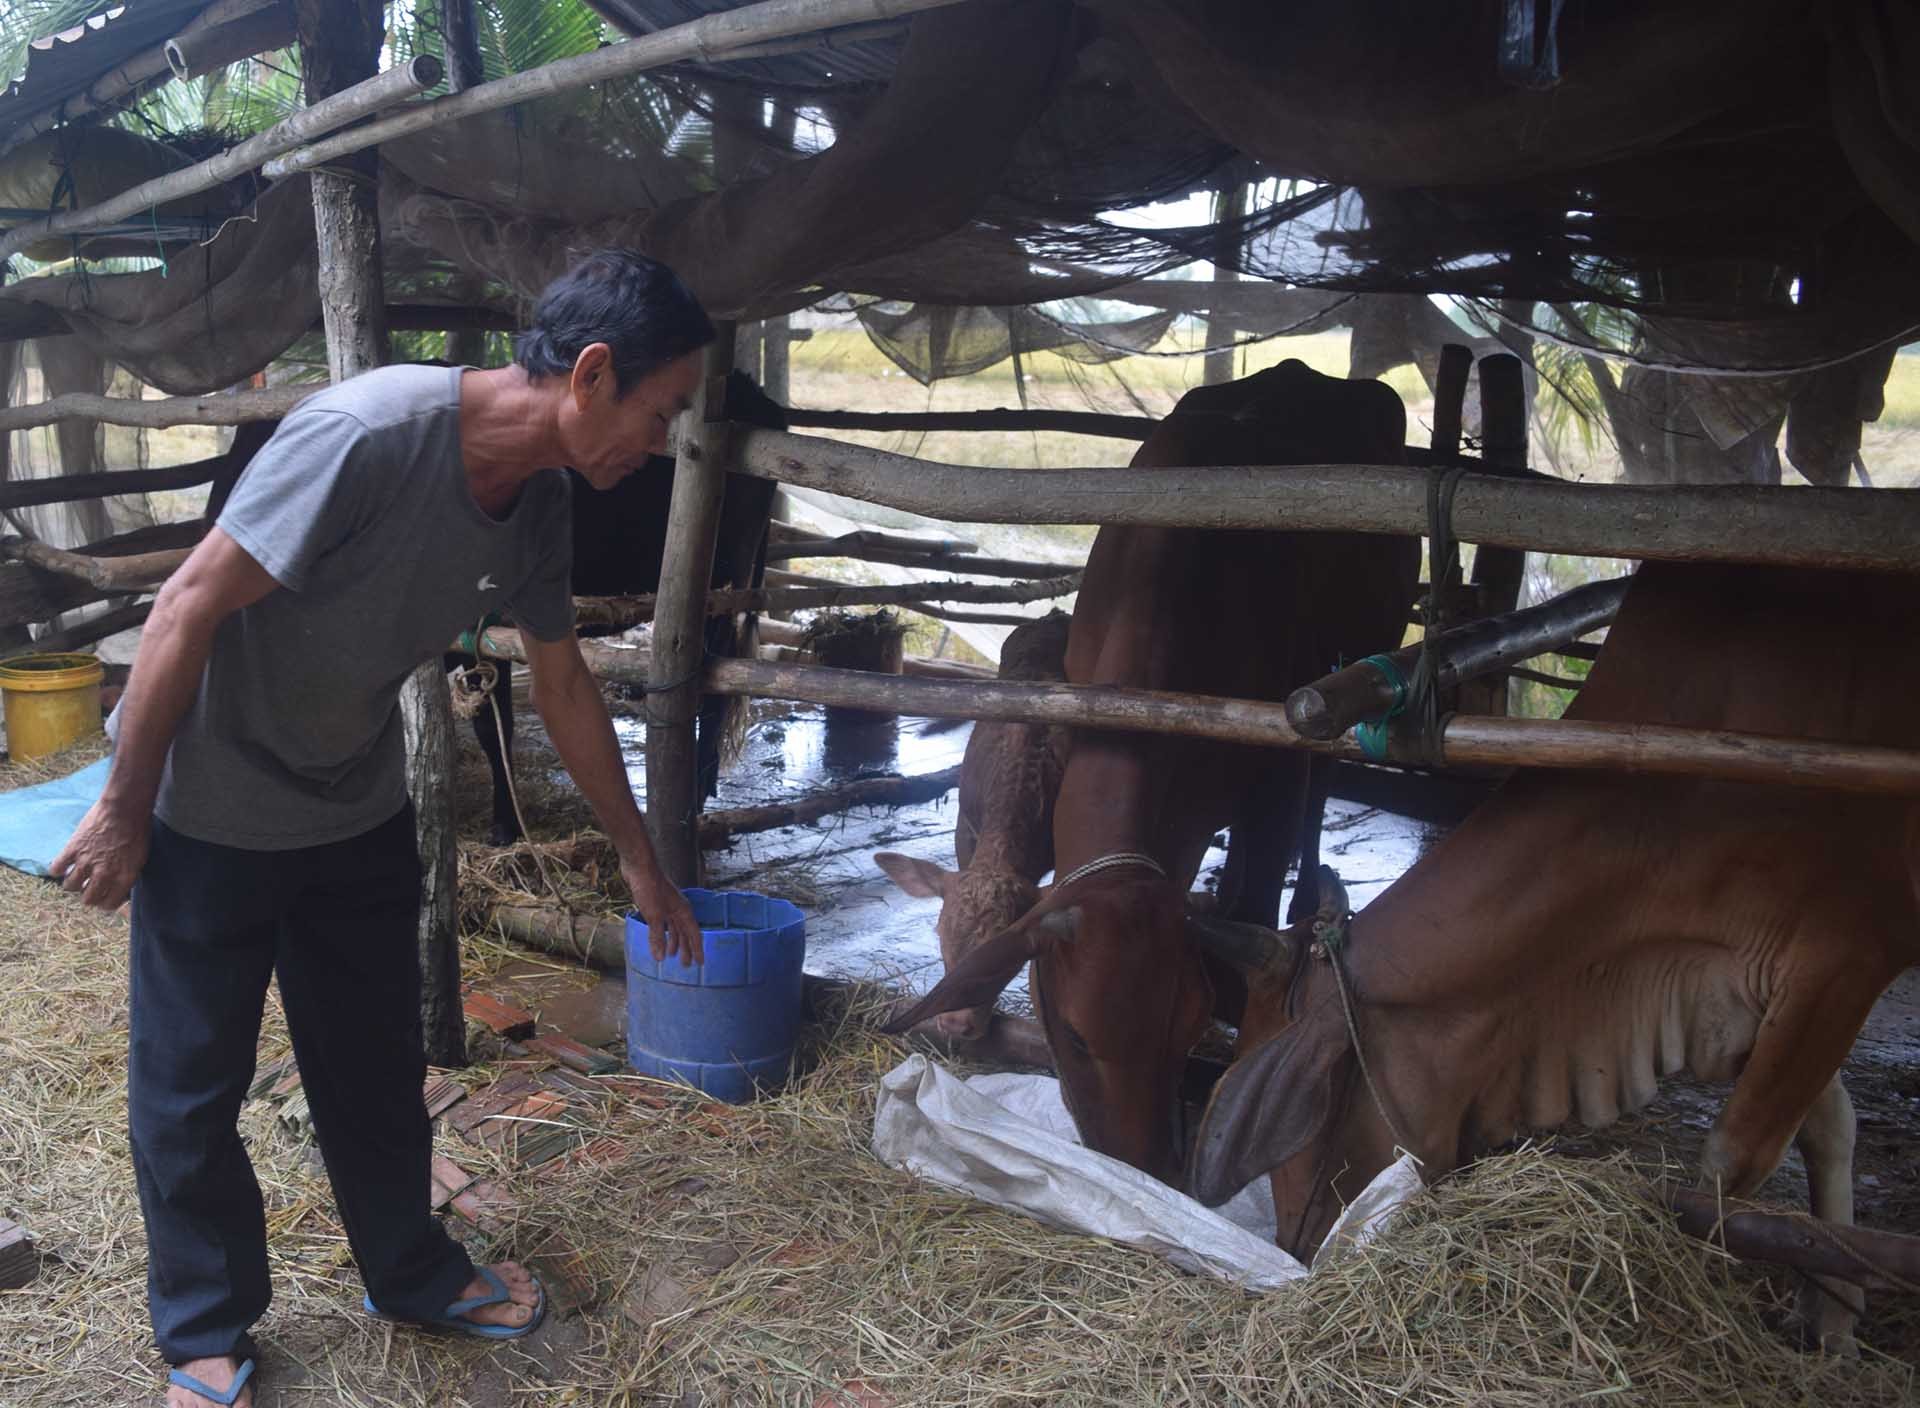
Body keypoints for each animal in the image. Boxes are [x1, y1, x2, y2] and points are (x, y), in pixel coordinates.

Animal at [1182, 560, 1920, 1352]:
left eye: (1309, 1118)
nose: (1299, 1247)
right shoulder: (1757, 987)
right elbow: (1830, 1125)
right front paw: (1833, 1315)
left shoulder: (1841, 959)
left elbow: (1732, 1167)